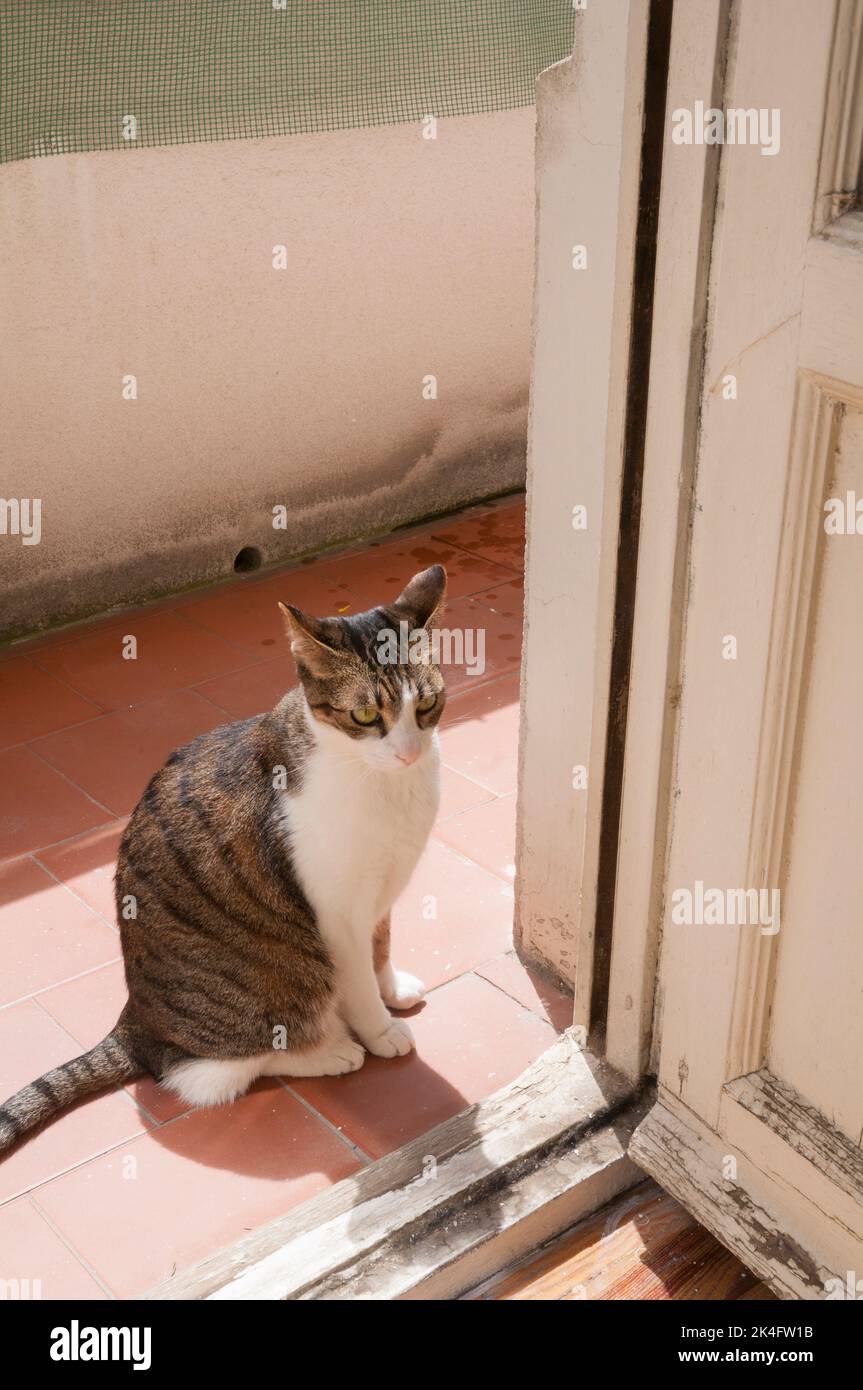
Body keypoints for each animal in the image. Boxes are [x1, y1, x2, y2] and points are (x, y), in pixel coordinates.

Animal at [0, 558, 444, 1156]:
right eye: (365, 714)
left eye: (427, 705)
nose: (409, 752)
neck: (382, 782)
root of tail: (135, 1021)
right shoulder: (339, 913)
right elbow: (356, 978)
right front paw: (380, 1029)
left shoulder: (381, 892)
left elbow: (382, 946)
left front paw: (392, 989)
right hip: (274, 985)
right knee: (213, 1071)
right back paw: (330, 1051)